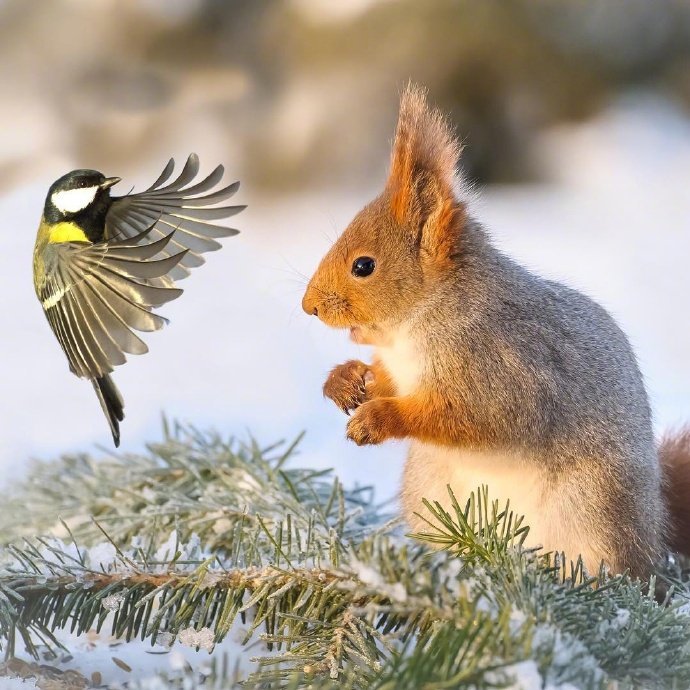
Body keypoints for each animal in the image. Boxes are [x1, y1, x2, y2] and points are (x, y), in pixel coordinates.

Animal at [300, 83, 688, 576]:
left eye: (363, 266)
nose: (308, 307)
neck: (415, 328)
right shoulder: (400, 367)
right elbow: (382, 380)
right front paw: (346, 380)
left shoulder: (503, 368)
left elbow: (473, 417)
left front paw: (378, 418)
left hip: (594, 510)